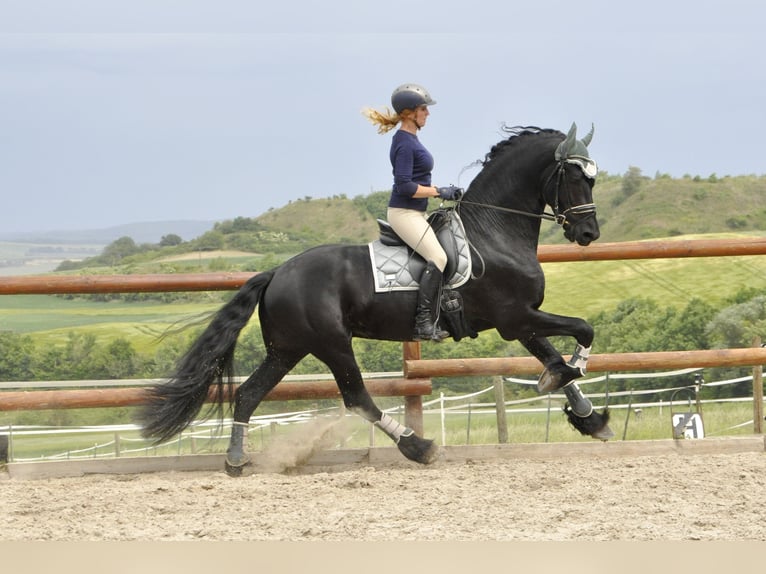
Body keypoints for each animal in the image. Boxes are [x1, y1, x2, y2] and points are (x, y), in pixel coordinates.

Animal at [139, 123, 613, 476]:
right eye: (575, 176)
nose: (588, 234)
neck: (494, 232)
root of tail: (277, 273)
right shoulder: (515, 317)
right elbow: (582, 332)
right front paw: (573, 379)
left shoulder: (521, 319)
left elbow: (553, 357)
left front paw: (589, 417)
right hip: (332, 343)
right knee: (357, 399)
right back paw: (418, 446)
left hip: (286, 348)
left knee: (249, 394)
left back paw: (236, 460)